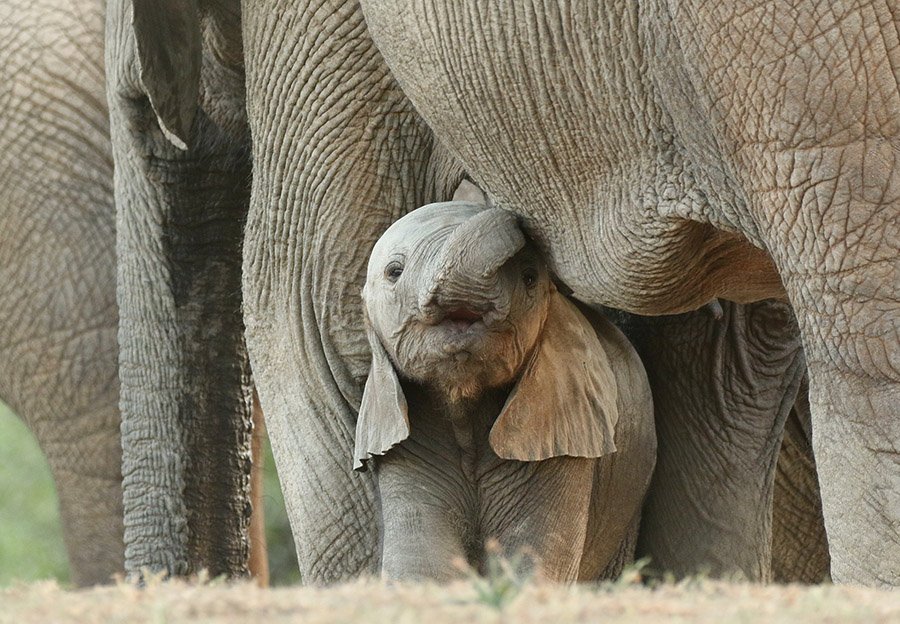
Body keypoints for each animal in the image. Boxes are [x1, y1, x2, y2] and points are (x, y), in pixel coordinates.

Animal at [356, 199, 655, 581]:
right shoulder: (404, 444)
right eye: (394, 272)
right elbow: (420, 565)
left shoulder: (562, 437)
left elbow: (532, 558)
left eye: (529, 278)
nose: (513, 213)